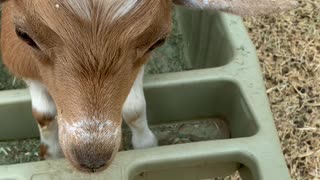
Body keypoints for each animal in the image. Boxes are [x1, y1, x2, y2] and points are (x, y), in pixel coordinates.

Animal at [0, 0, 298, 173]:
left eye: (158, 41)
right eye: (24, 35)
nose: (92, 159)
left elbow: (133, 108)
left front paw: (146, 144)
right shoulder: (19, 57)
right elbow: (43, 114)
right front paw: (51, 154)